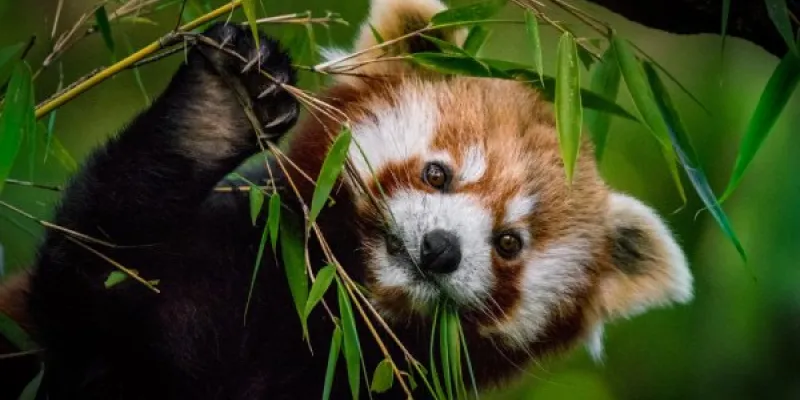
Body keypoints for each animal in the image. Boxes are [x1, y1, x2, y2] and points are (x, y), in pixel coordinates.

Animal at [1, 0, 693, 398]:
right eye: (437, 174)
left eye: (508, 243)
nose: (440, 249)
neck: (321, 315)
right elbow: (87, 277)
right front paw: (217, 109)